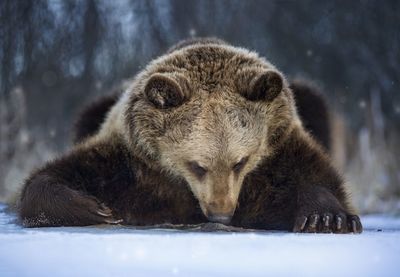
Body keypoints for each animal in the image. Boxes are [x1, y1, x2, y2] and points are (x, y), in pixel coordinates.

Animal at [18, 37, 362, 232]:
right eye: (198, 165)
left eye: (240, 162)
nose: (221, 213)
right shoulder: (132, 161)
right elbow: (58, 174)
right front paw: (95, 208)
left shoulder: (279, 147)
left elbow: (311, 175)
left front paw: (327, 218)